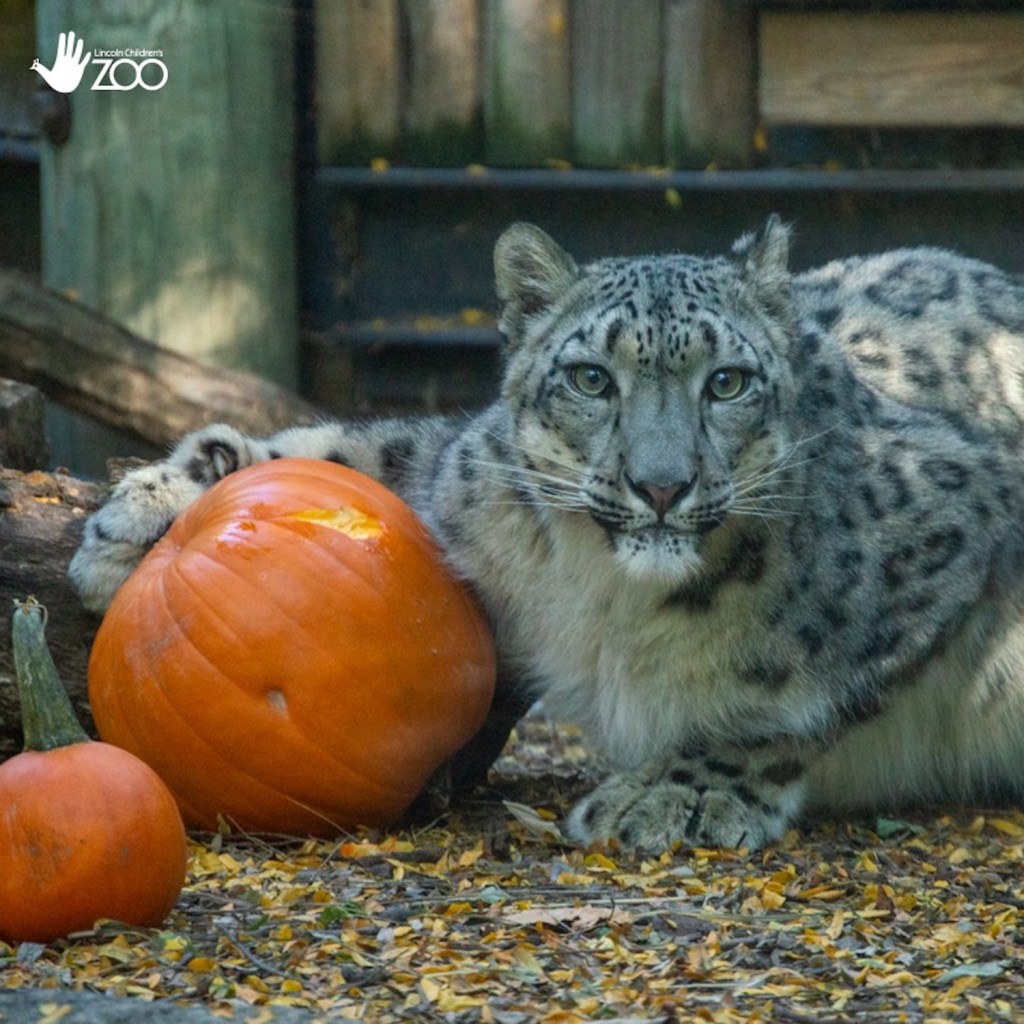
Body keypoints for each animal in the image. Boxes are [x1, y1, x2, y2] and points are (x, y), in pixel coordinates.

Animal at [70, 220, 1024, 851]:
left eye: (727, 382)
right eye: (592, 378)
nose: (662, 484)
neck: (611, 590)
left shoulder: (958, 508)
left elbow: (798, 702)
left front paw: (671, 794)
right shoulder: (457, 480)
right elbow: (358, 452)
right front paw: (145, 519)